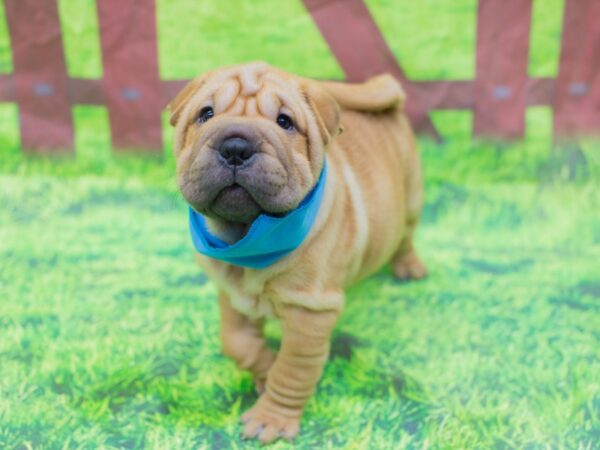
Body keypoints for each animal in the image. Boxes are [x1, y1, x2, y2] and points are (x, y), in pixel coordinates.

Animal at [169, 60, 426, 442]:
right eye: (206, 114)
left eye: (285, 121)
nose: (235, 145)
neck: (249, 236)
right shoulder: (233, 295)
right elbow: (237, 344)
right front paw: (264, 370)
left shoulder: (310, 311)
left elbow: (292, 370)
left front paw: (271, 418)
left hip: (410, 197)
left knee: (406, 236)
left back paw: (409, 267)